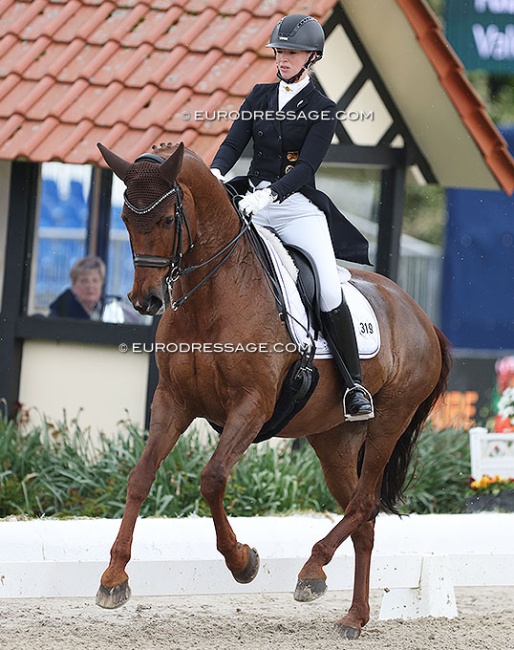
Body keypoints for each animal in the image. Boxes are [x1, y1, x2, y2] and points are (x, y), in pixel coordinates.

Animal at [96, 140, 448, 636]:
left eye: (166, 220)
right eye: (127, 219)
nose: (145, 300)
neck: (211, 295)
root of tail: (422, 317)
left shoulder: (252, 406)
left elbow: (212, 478)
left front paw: (242, 562)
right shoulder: (172, 401)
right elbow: (140, 477)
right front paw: (113, 577)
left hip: (388, 423)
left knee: (365, 503)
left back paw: (312, 570)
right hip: (334, 439)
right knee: (363, 517)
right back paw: (352, 615)